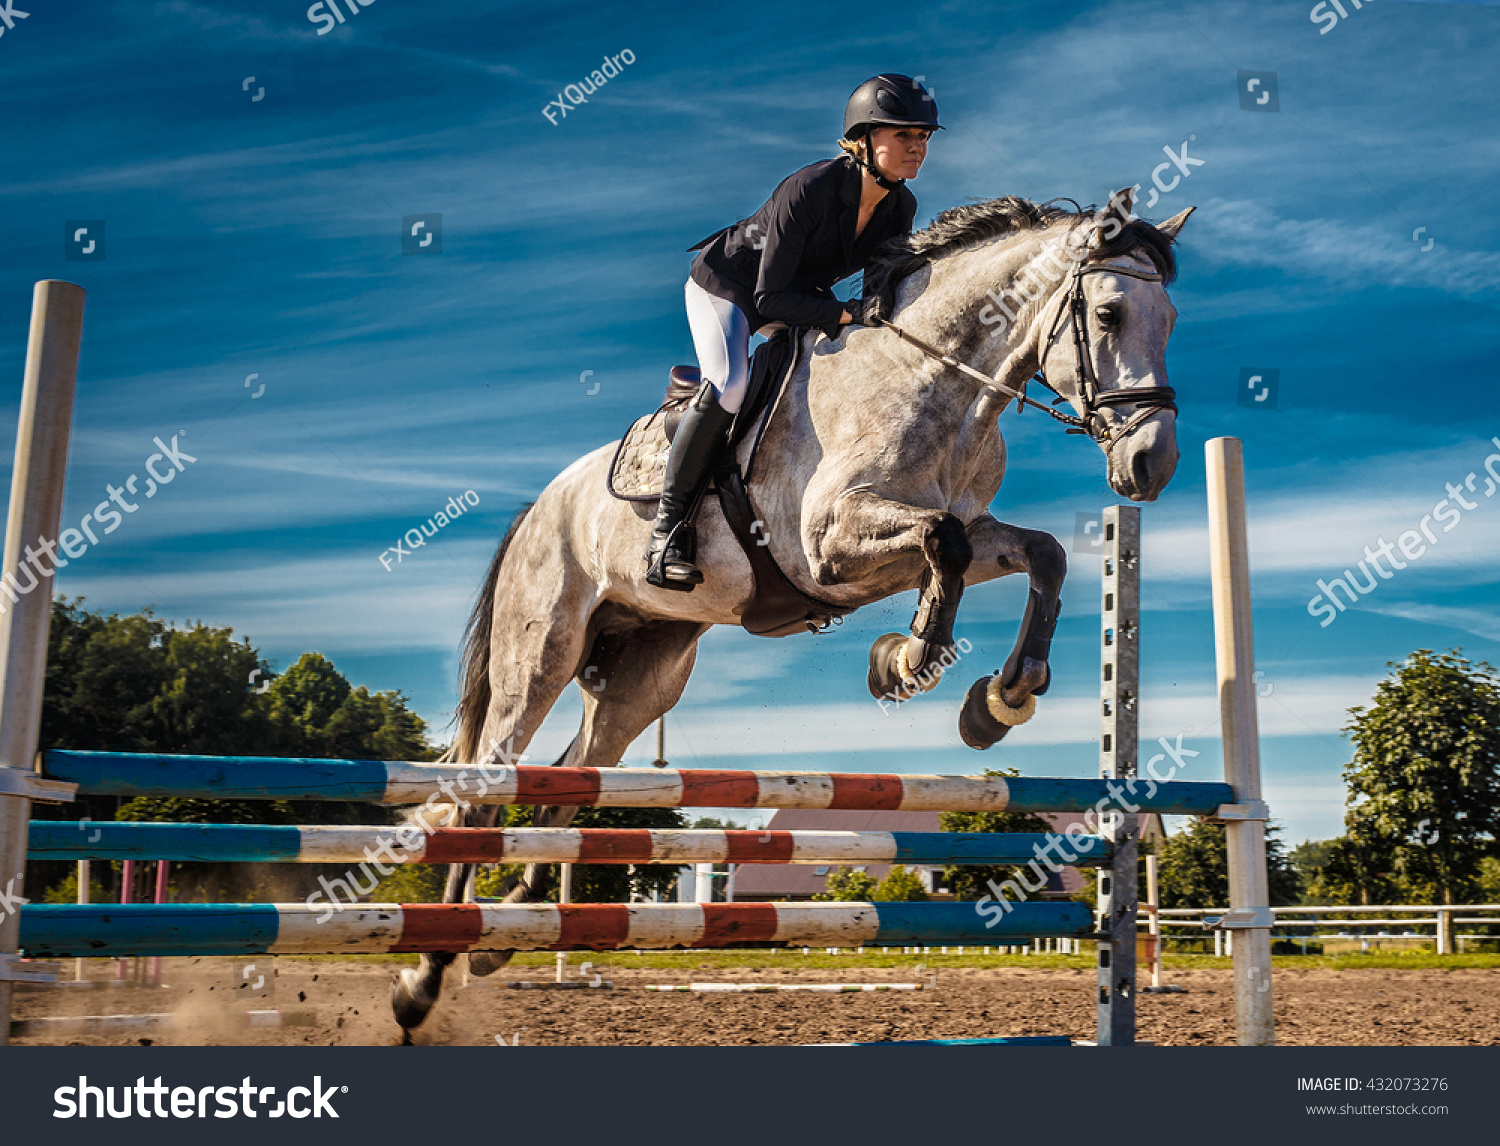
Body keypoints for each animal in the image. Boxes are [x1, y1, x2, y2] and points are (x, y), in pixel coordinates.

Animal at [393, 188, 1188, 1032]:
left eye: (1170, 318)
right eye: (1108, 314)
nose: (1152, 464)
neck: (937, 380)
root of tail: (539, 507)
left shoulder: (961, 534)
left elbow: (1038, 553)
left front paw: (999, 698)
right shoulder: (828, 545)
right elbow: (941, 543)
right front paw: (905, 661)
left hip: (642, 677)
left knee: (570, 781)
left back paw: (502, 931)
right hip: (541, 652)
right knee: (487, 790)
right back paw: (428, 973)